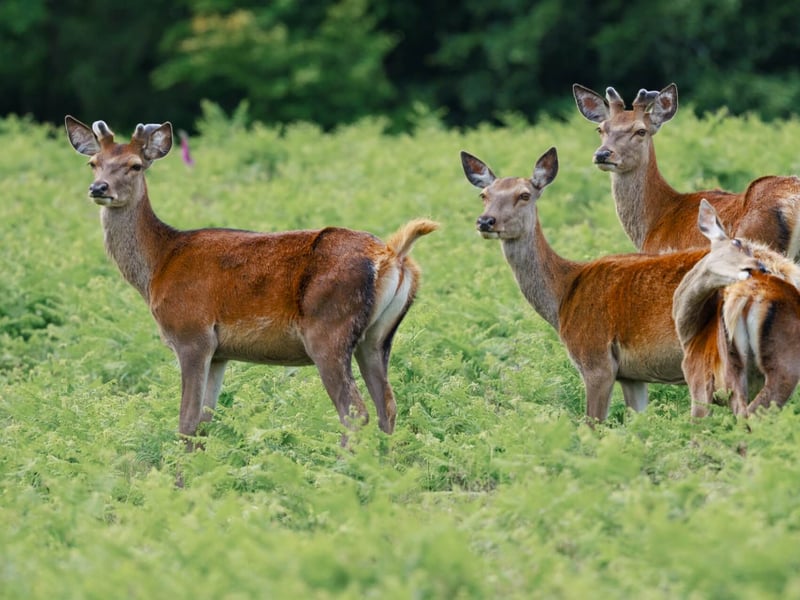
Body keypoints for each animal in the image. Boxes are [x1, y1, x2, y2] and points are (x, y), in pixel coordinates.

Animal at [65, 115, 438, 450]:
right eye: (93, 163)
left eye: (135, 165)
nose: (99, 188)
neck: (158, 265)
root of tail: (392, 254)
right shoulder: (220, 354)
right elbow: (204, 423)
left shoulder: (191, 334)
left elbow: (186, 423)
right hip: (377, 338)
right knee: (387, 407)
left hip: (328, 329)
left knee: (355, 411)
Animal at [461, 147, 766, 421]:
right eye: (484, 195)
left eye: (524, 195)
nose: (486, 221)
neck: (563, 296)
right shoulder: (632, 375)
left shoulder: (596, 360)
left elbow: (592, 425)